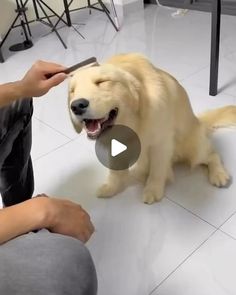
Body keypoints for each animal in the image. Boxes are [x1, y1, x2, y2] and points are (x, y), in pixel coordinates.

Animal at [68, 53, 236, 205]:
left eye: (102, 82)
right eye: (73, 90)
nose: (76, 106)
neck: (132, 121)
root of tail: (199, 121)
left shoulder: (160, 145)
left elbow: (157, 171)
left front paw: (153, 190)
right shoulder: (114, 145)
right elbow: (115, 172)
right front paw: (111, 188)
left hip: (194, 148)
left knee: (213, 155)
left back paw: (218, 174)